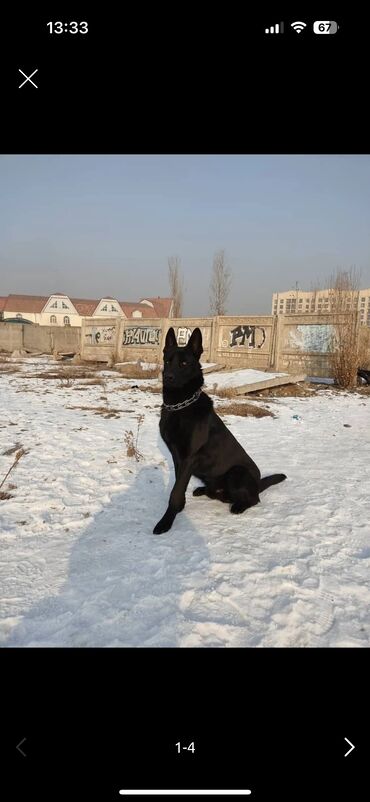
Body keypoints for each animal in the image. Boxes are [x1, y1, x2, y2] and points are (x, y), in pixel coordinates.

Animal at [153, 324, 286, 532]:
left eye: (184, 363)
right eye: (168, 361)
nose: (168, 377)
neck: (180, 406)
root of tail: (258, 484)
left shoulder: (189, 458)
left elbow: (175, 491)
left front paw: (166, 521)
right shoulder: (177, 457)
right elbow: (178, 486)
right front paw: (179, 508)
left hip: (237, 472)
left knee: (254, 500)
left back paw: (239, 506)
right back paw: (204, 490)